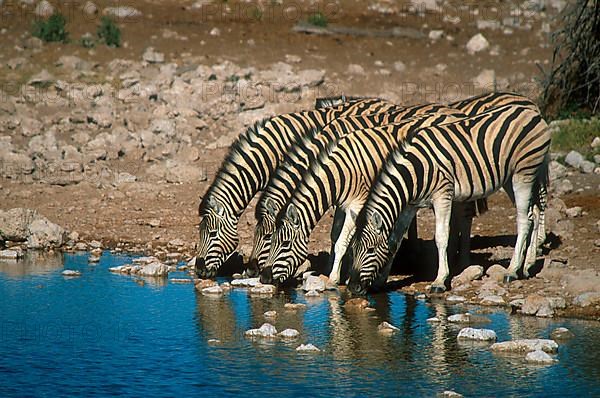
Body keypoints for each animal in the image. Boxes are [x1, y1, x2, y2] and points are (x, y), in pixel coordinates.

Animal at [246, 102, 458, 276]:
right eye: (269, 238)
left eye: (280, 242)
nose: (258, 274)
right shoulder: (342, 202)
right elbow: (337, 235)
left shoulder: (357, 203)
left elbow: (343, 240)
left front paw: (338, 276)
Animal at [346, 103, 548, 296]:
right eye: (353, 249)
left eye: (370, 250)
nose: (353, 288)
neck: (414, 172)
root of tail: (532, 112)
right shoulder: (411, 205)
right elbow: (394, 240)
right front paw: (380, 282)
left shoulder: (442, 194)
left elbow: (441, 237)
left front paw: (440, 281)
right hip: (510, 178)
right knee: (534, 213)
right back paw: (527, 265)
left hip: (524, 172)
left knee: (524, 219)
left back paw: (512, 271)